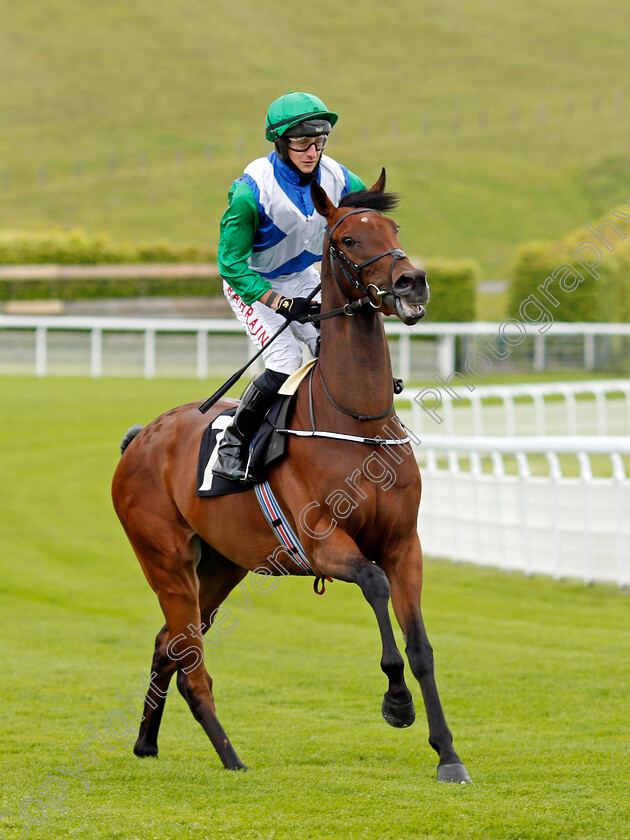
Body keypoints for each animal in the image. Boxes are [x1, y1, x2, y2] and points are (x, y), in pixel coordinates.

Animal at [111, 171, 472, 788]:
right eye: (348, 239)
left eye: (395, 228)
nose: (412, 282)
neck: (356, 421)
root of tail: (141, 438)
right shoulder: (325, 543)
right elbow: (374, 585)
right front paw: (396, 701)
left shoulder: (405, 544)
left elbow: (421, 644)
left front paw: (447, 753)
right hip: (166, 561)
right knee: (191, 661)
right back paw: (231, 757)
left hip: (220, 565)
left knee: (169, 644)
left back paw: (146, 742)